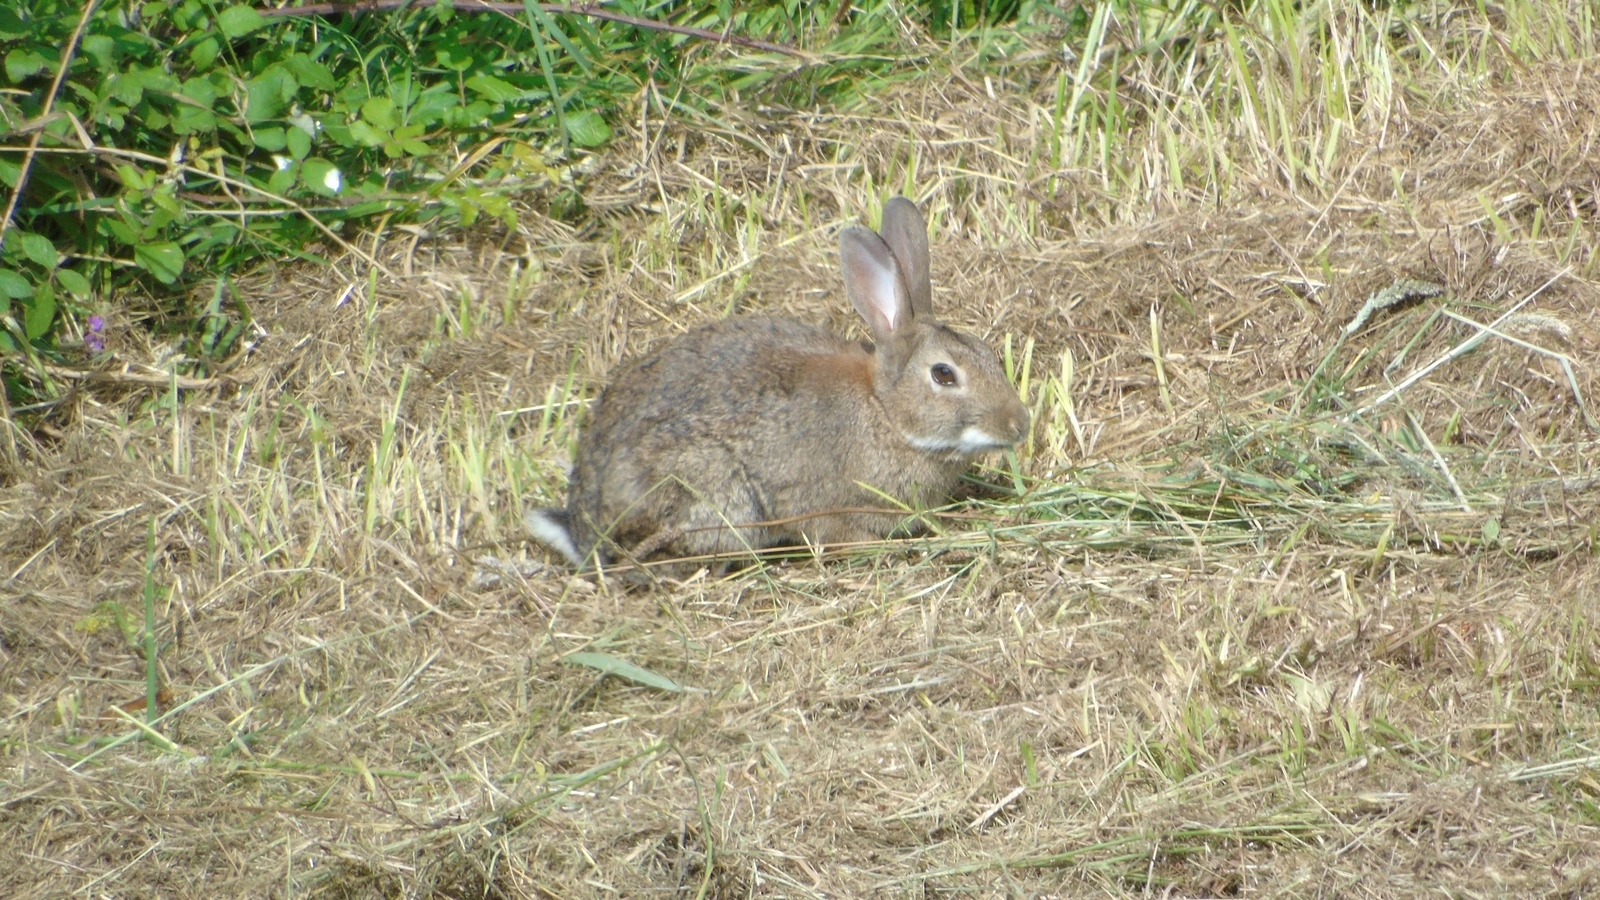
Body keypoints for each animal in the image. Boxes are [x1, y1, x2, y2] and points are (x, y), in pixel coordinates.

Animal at [525, 196, 1030, 575]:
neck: (886, 415)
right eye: (944, 374)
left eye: (988, 353)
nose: (1019, 425)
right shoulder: (828, 507)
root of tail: (584, 536)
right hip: (712, 494)